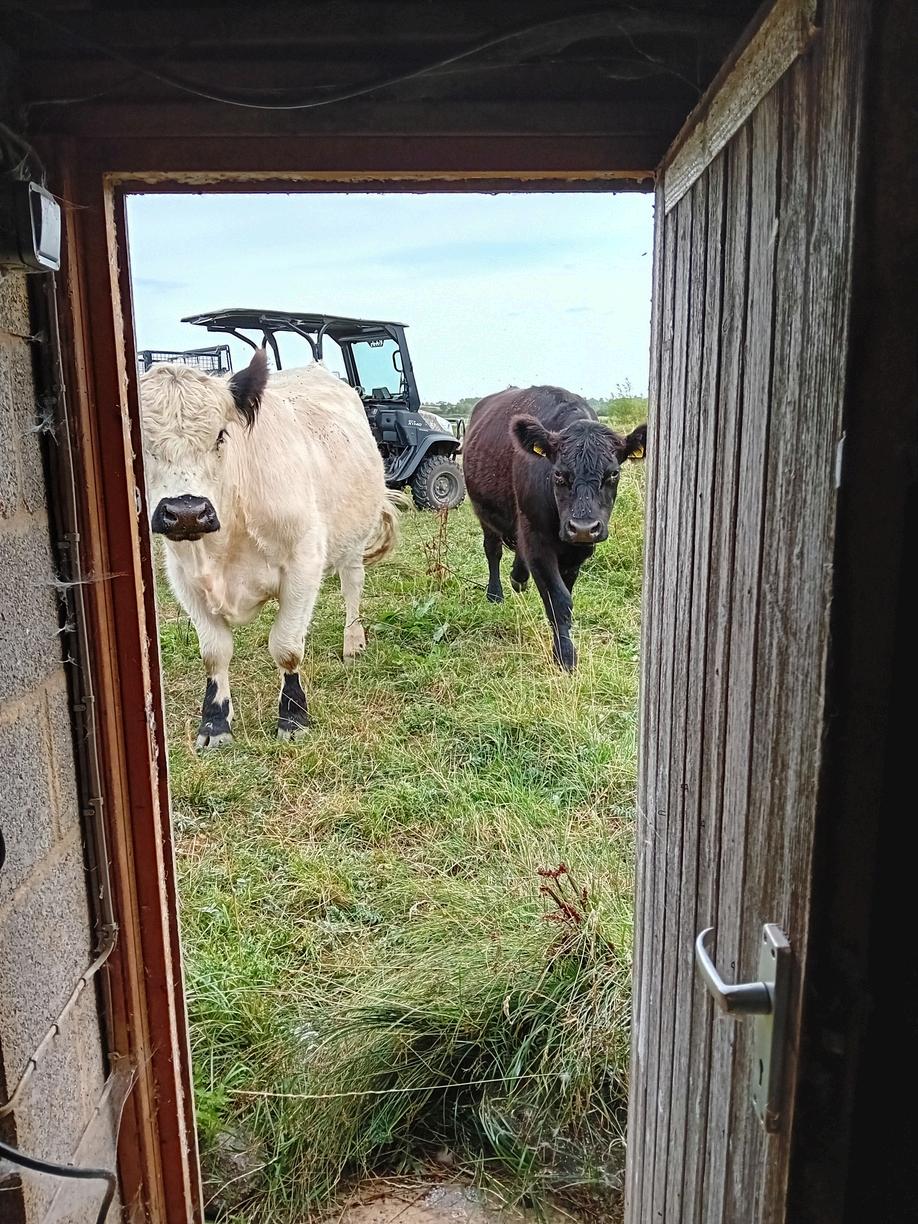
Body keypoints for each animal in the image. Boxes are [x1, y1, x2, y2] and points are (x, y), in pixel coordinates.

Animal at [139, 349, 400, 747]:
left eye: (221, 435)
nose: (186, 512)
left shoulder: (303, 563)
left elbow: (287, 646)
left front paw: (293, 717)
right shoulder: (184, 578)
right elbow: (214, 653)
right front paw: (214, 723)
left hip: (353, 538)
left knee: (352, 585)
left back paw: (353, 641)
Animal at [462, 386, 646, 670]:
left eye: (613, 473)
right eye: (558, 473)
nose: (583, 527)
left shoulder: (577, 552)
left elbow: (566, 597)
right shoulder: (538, 541)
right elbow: (558, 600)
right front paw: (566, 657)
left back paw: (518, 579)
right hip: (484, 512)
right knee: (493, 550)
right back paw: (495, 594)